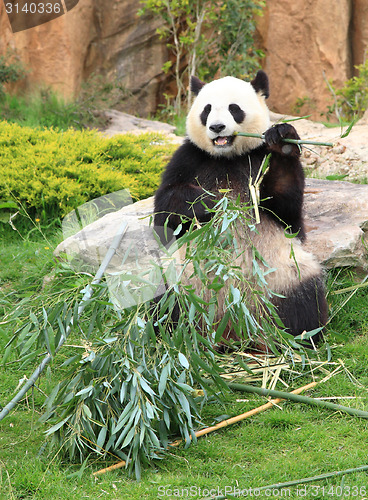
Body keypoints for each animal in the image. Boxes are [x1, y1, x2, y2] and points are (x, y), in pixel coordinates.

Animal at [152, 70, 328, 346]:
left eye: (234, 109)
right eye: (207, 110)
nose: (216, 127)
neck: (227, 156)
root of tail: (232, 325)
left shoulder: (259, 158)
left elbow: (287, 210)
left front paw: (284, 141)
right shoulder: (188, 158)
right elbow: (165, 215)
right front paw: (209, 202)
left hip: (285, 278)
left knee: (305, 304)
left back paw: (291, 338)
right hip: (180, 283)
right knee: (163, 306)